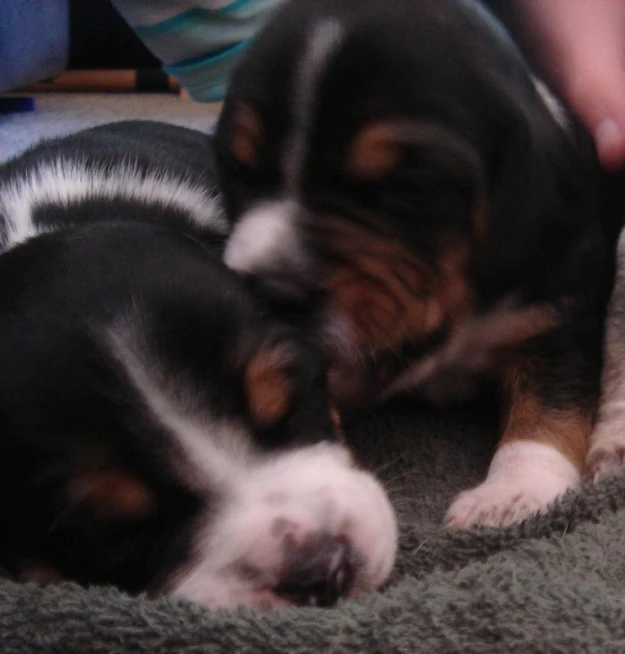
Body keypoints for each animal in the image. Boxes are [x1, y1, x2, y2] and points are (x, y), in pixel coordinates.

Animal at [217, 0, 616, 532]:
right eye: (240, 171)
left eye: (407, 190)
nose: (271, 290)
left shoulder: (555, 317)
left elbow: (549, 406)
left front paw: (514, 493)